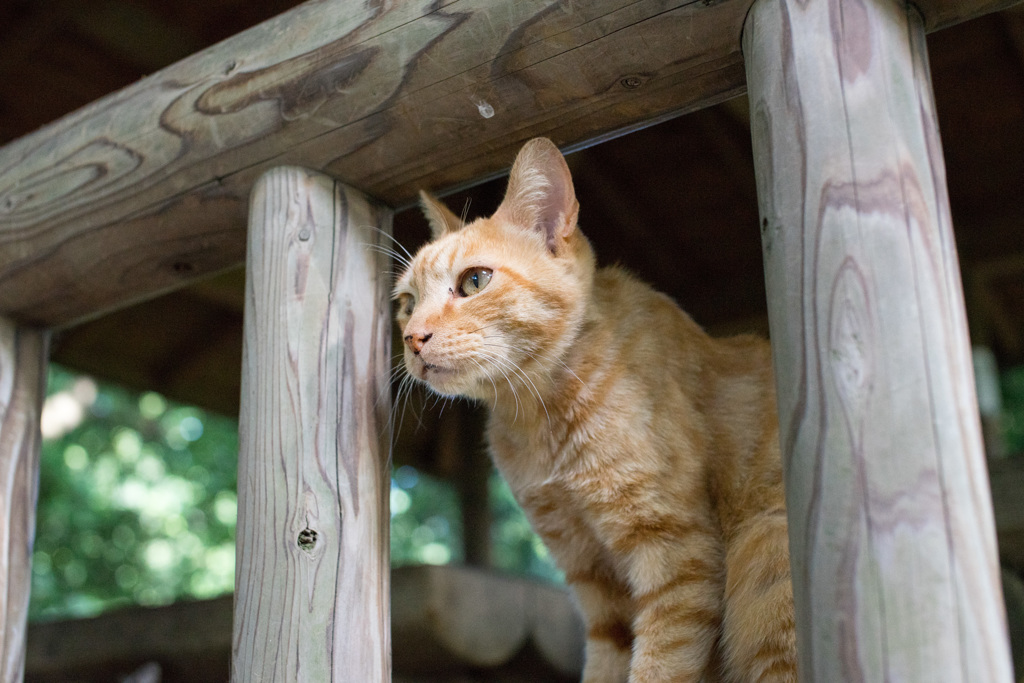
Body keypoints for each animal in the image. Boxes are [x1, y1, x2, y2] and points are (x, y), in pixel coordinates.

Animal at [393, 136, 798, 679]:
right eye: (406, 303)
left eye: (475, 281)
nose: (414, 338)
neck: (538, 419)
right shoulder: (595, 584)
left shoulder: (676, 557)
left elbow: (658, 668)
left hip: (763, 549)